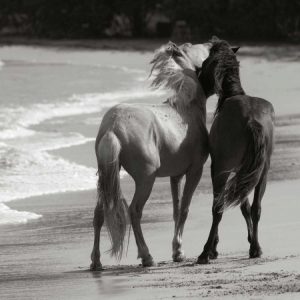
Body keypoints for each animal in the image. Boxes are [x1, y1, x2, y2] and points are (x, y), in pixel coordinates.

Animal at [91, 40, 211, 270]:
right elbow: (184, 209)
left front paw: (177, 250)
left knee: (99, 214)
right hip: (146, 179)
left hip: (106, 177)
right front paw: (178, 252)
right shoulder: (194, 171)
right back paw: (146, 256)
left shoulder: (175, 175)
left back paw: (96, 261)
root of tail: (113, 125)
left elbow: (176, 210)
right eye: (201, 50)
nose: (213, 42)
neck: (185, 109)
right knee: (134, 211)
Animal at [196, 37, 276, 262]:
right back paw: (256, 248)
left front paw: (213, 248)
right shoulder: (244, 171)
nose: (197, 76)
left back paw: (205, 252)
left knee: (217, 208)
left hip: (222, 170)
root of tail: (251, 120)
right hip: (261, 172)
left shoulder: (221, 167)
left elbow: (225, 205)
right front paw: (250, 240)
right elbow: (245, 206)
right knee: (257, 208)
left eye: (205, 61)